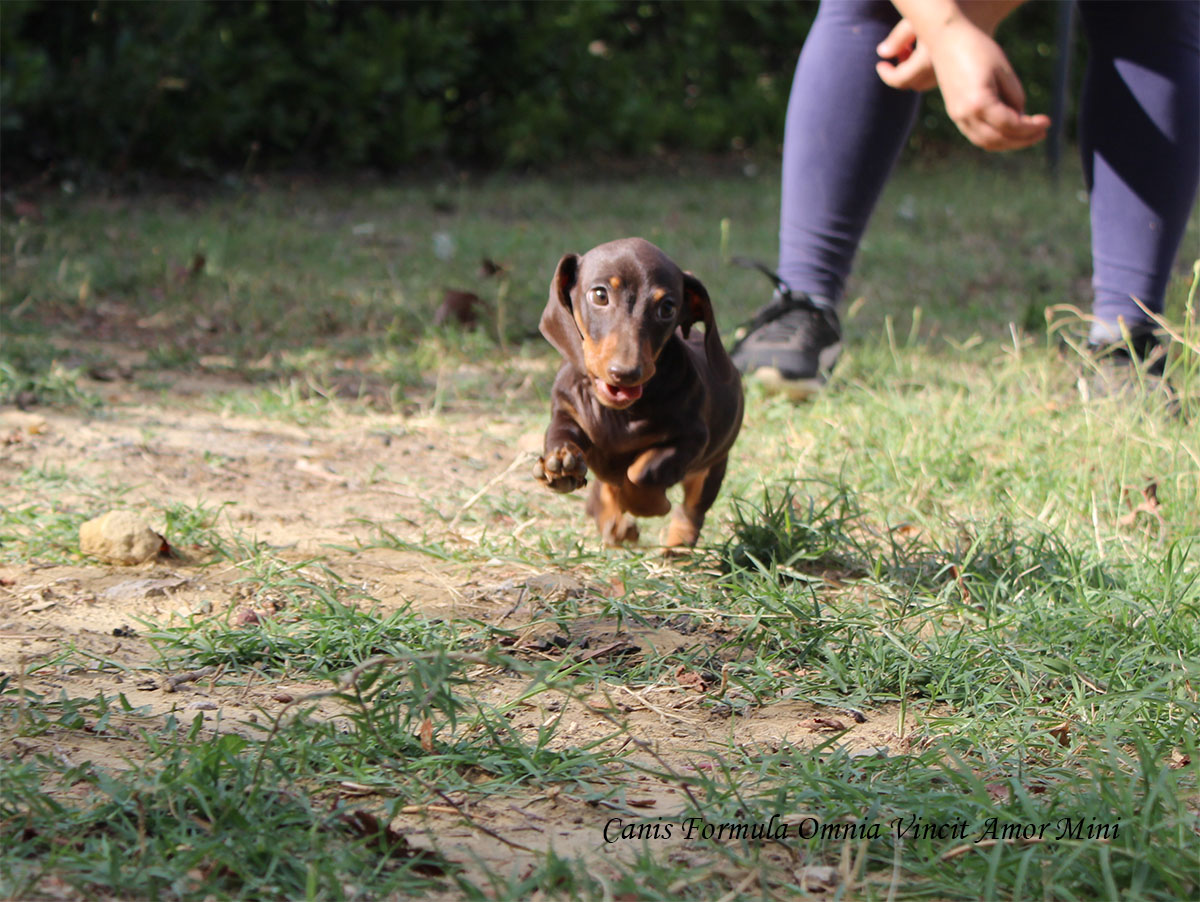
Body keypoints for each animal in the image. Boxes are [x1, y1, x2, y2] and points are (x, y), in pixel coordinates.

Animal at [535, 239, 739, 546]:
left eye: (667, 308)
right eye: (600, 295)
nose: (626, 372)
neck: (619, 413)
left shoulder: (692, 439)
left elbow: (641, 472)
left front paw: (648, 504)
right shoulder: (566, 411)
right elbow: (561, 435)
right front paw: (560, 463)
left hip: (712, 468)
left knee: (692, 510)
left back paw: (676, 543)